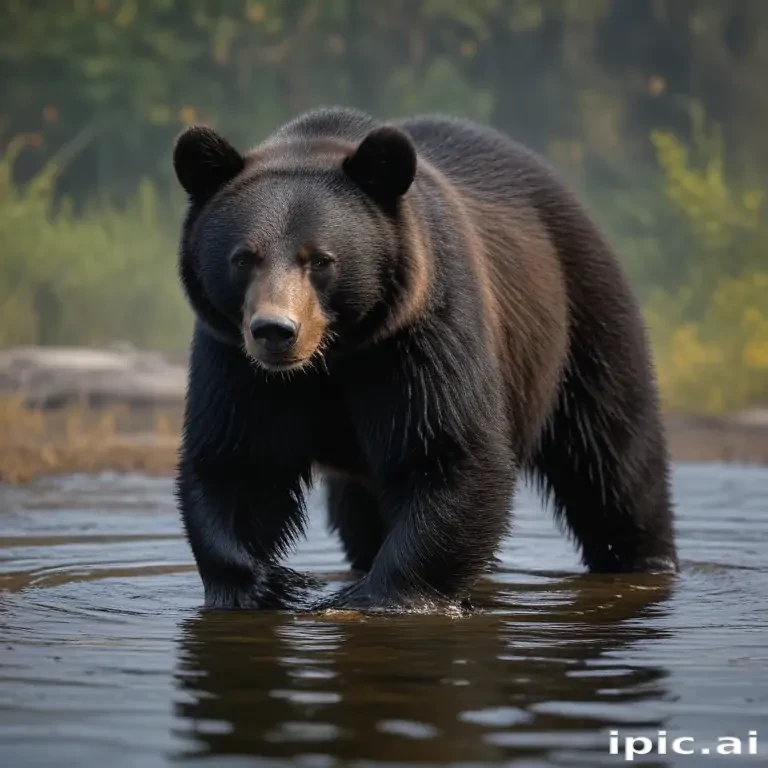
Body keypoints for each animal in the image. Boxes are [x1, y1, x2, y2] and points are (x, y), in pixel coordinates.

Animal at [172, 106, 678, 613]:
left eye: (319, 260)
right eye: (243, 258)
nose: (276, 331)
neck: (336, 354)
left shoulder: (421, 331)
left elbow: (447, 451)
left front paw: (374, 596)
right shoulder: (235, 358)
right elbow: (236, 460)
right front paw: (263, 585)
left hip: (581, 314)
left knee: (612, 455)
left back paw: (642, 557)